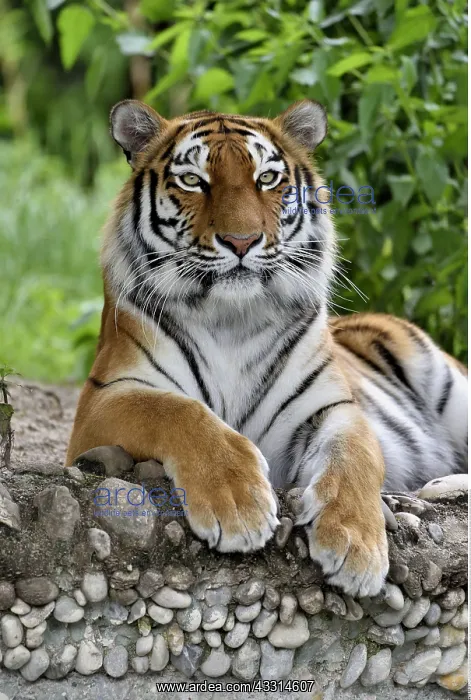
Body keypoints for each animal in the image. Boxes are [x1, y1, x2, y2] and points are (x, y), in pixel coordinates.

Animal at [66, 98, 468, 597]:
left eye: (267, 178)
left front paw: (355, 543)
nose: (241, 241)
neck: (231, 320)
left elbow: (355, 458)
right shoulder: (103, 399)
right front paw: (238, 504)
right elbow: (176, 411)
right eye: (193, 181)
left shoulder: (331, 407)